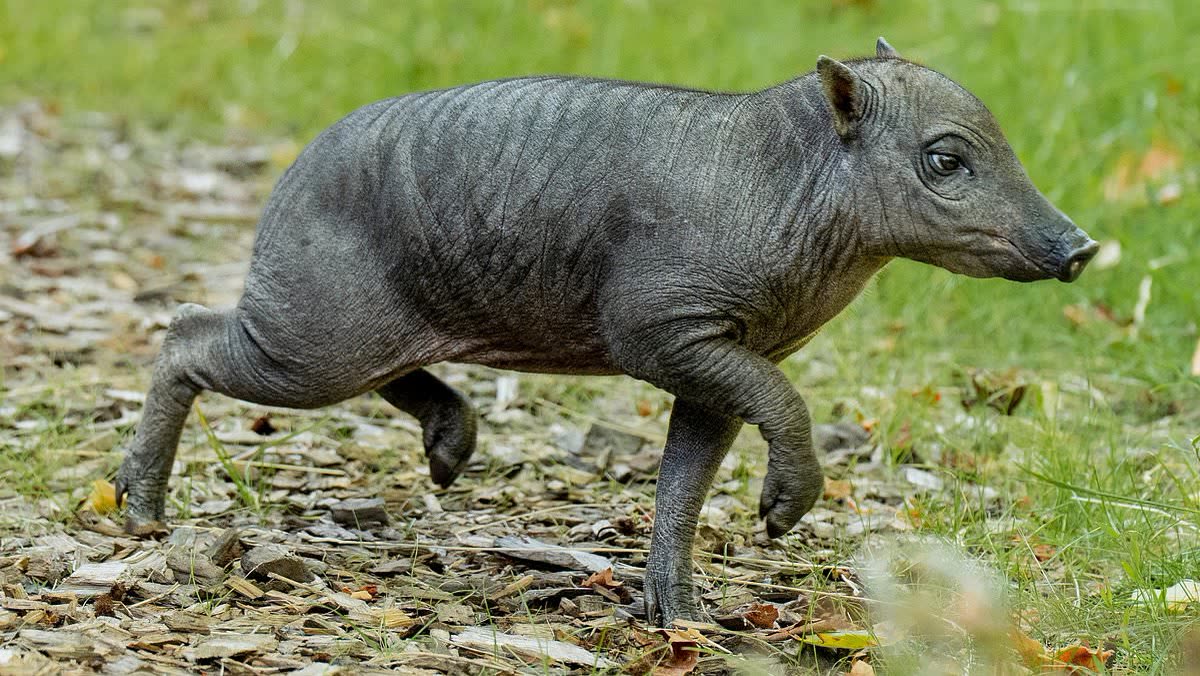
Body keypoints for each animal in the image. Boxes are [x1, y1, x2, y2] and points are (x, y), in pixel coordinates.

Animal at [116, 37, 1098, 625]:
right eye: (947, 159)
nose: (1083, 247)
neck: (793, 193)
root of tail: (281, 190)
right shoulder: (662, 329)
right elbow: (781, 404)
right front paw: (780, 515)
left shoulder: (723, 355)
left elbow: (686, 481)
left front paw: (683, 617)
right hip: (314, 332)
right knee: (185, 332)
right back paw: (140, 510)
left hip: (361, 327)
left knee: (386, 374)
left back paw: (450, 454)